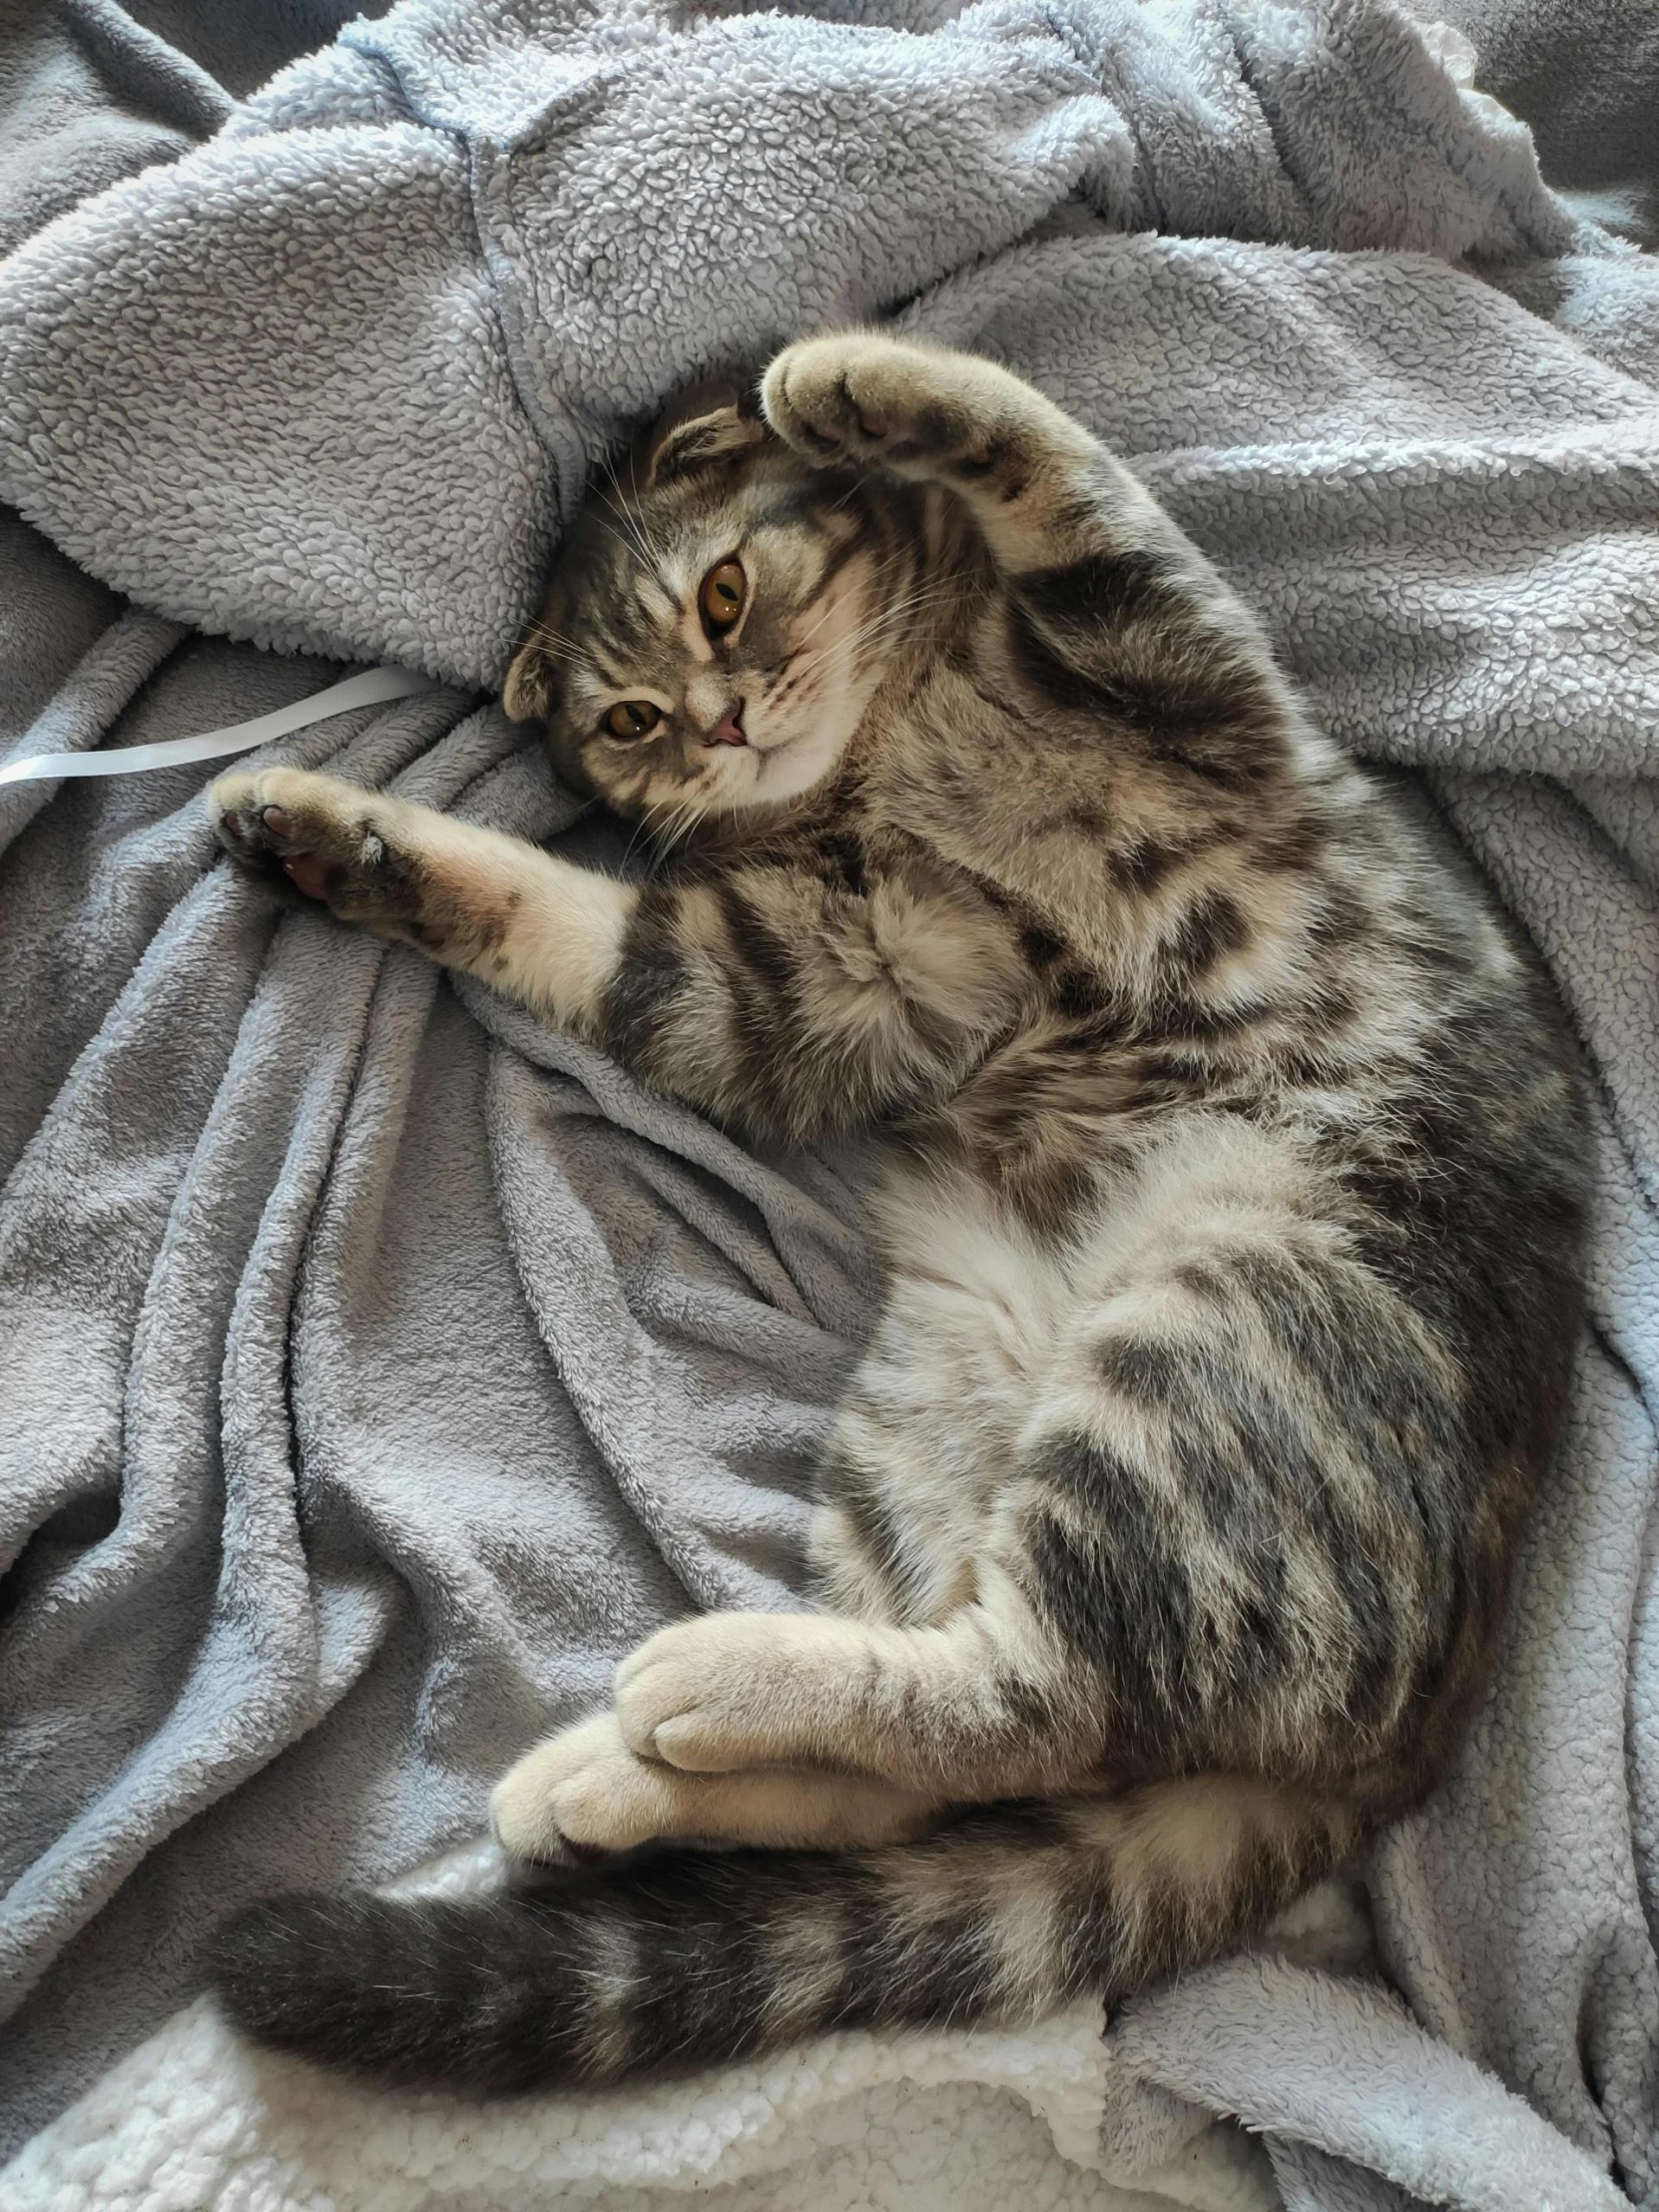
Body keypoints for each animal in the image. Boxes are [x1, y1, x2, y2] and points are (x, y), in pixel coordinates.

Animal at [201, 331, 1592, 2087]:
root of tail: (1417, 1730)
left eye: (724, 596)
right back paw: (630, 1759)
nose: (721, 722)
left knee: (1026, 1710)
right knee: (985, 1734)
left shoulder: (1171, 662)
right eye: (631, 717)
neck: (886, 759)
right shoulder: (798, 984)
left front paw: (848, 373)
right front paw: (334, 838)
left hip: (1205, 1343)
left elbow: (1051, 461)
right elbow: (563, 914)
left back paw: (654, 1730)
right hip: (1003, 1395)